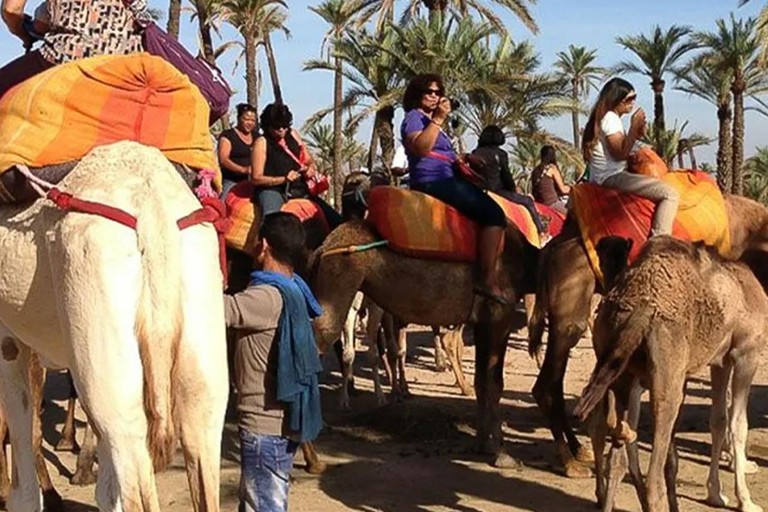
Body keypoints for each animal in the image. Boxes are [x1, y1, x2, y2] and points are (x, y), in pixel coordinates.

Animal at [0, 142, 230, 512]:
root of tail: (153, 210)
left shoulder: (9, 341)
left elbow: (26, 480)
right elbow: (107, 490)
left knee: (129, 453)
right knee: (202, 424)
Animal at [308, 218, 536, 466]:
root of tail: (323, 247)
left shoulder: (483, 320)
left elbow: (482, 381)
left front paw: (483, 444)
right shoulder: (499, 312)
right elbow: (495, 383)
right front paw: (500, 452)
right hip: (341, 277)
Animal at [524, 194, 768, 478]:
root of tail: (552, 247)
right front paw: (739, 462)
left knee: (552, 384)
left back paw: (579, 450)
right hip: (570, 309)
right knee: (547, 384)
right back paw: (570, 463)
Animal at [576, 237, 768, 512]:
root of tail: (639, 309)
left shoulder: (719, 361)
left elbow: (718, 421)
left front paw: (716, 494)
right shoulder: (747, 352)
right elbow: (738, 425)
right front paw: (746, 500)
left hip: (616, 362)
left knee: (615, 455)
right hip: (667, 375)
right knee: (652, 476)